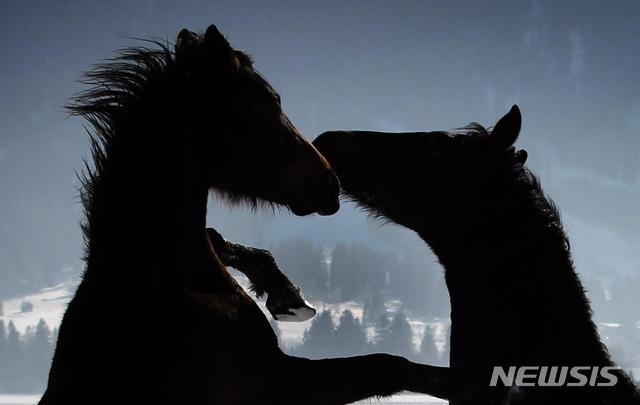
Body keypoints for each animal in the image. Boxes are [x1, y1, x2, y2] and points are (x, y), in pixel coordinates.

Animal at [41, 26, 490, 404]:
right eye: (268, 102)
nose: (330, 182)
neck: (162, 283)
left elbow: (221, 238)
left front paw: (287, 297)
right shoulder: (274, 383)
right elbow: (386, 365)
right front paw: (472, 381)